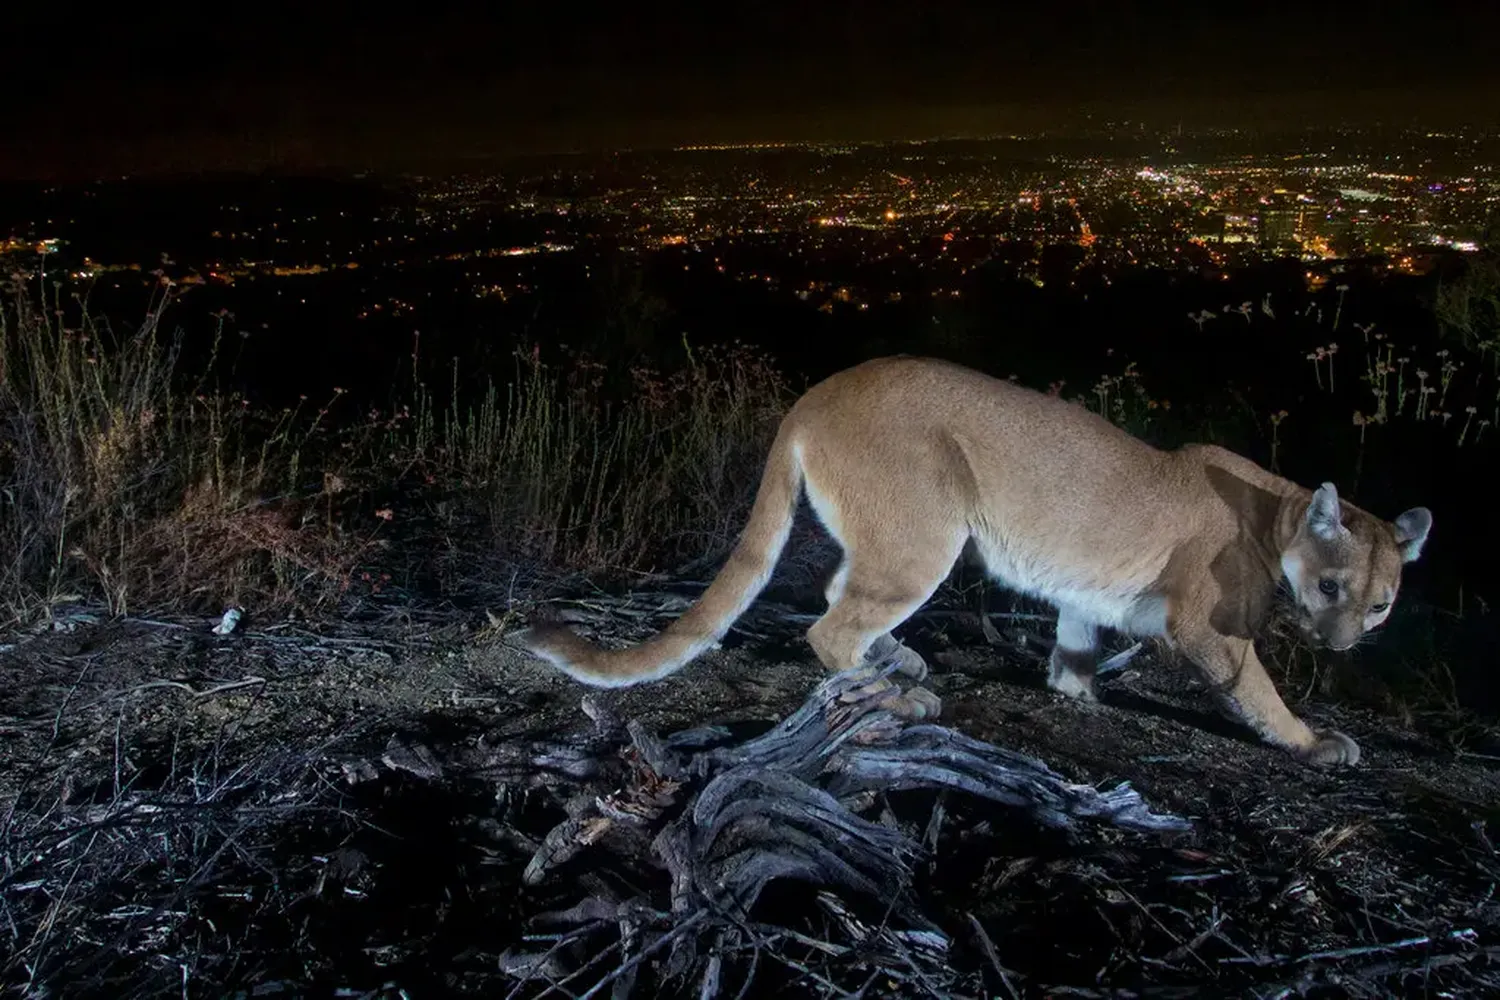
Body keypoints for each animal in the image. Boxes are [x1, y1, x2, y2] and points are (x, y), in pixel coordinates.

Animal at [522, 358, 1434, 767]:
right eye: (1331, 586)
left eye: (1381, 603)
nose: (1343, 644)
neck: (1278, 511)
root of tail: (816, 392)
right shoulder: (1208, 626)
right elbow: (1257, 689)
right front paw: (1313, 741)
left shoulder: (1085, 591)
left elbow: (1075, 642)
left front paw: (1076, 692)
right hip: (928, 533)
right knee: (830, 625)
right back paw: (900, 690)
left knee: (837, 591)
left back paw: (900, 659)